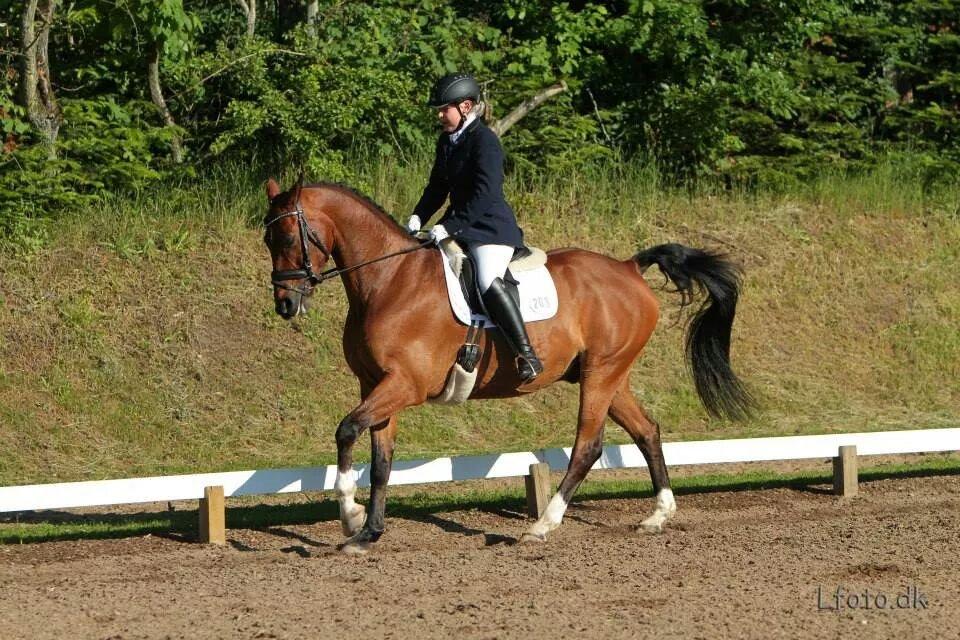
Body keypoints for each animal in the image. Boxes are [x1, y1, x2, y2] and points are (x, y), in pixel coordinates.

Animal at [262, 177, 753, 554]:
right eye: (268, 241)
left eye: (285, 238)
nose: (285, 305)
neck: (388, 281)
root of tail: (629, 268)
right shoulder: (376, 385)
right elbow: (380, 461)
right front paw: (367, 533)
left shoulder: (405, 385)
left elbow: (346, 429)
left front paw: (349, 513)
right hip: (609, 374)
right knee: (647, 430)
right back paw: (658, 515)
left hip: (601, 373)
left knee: (588, 446)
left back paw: (542, 525)